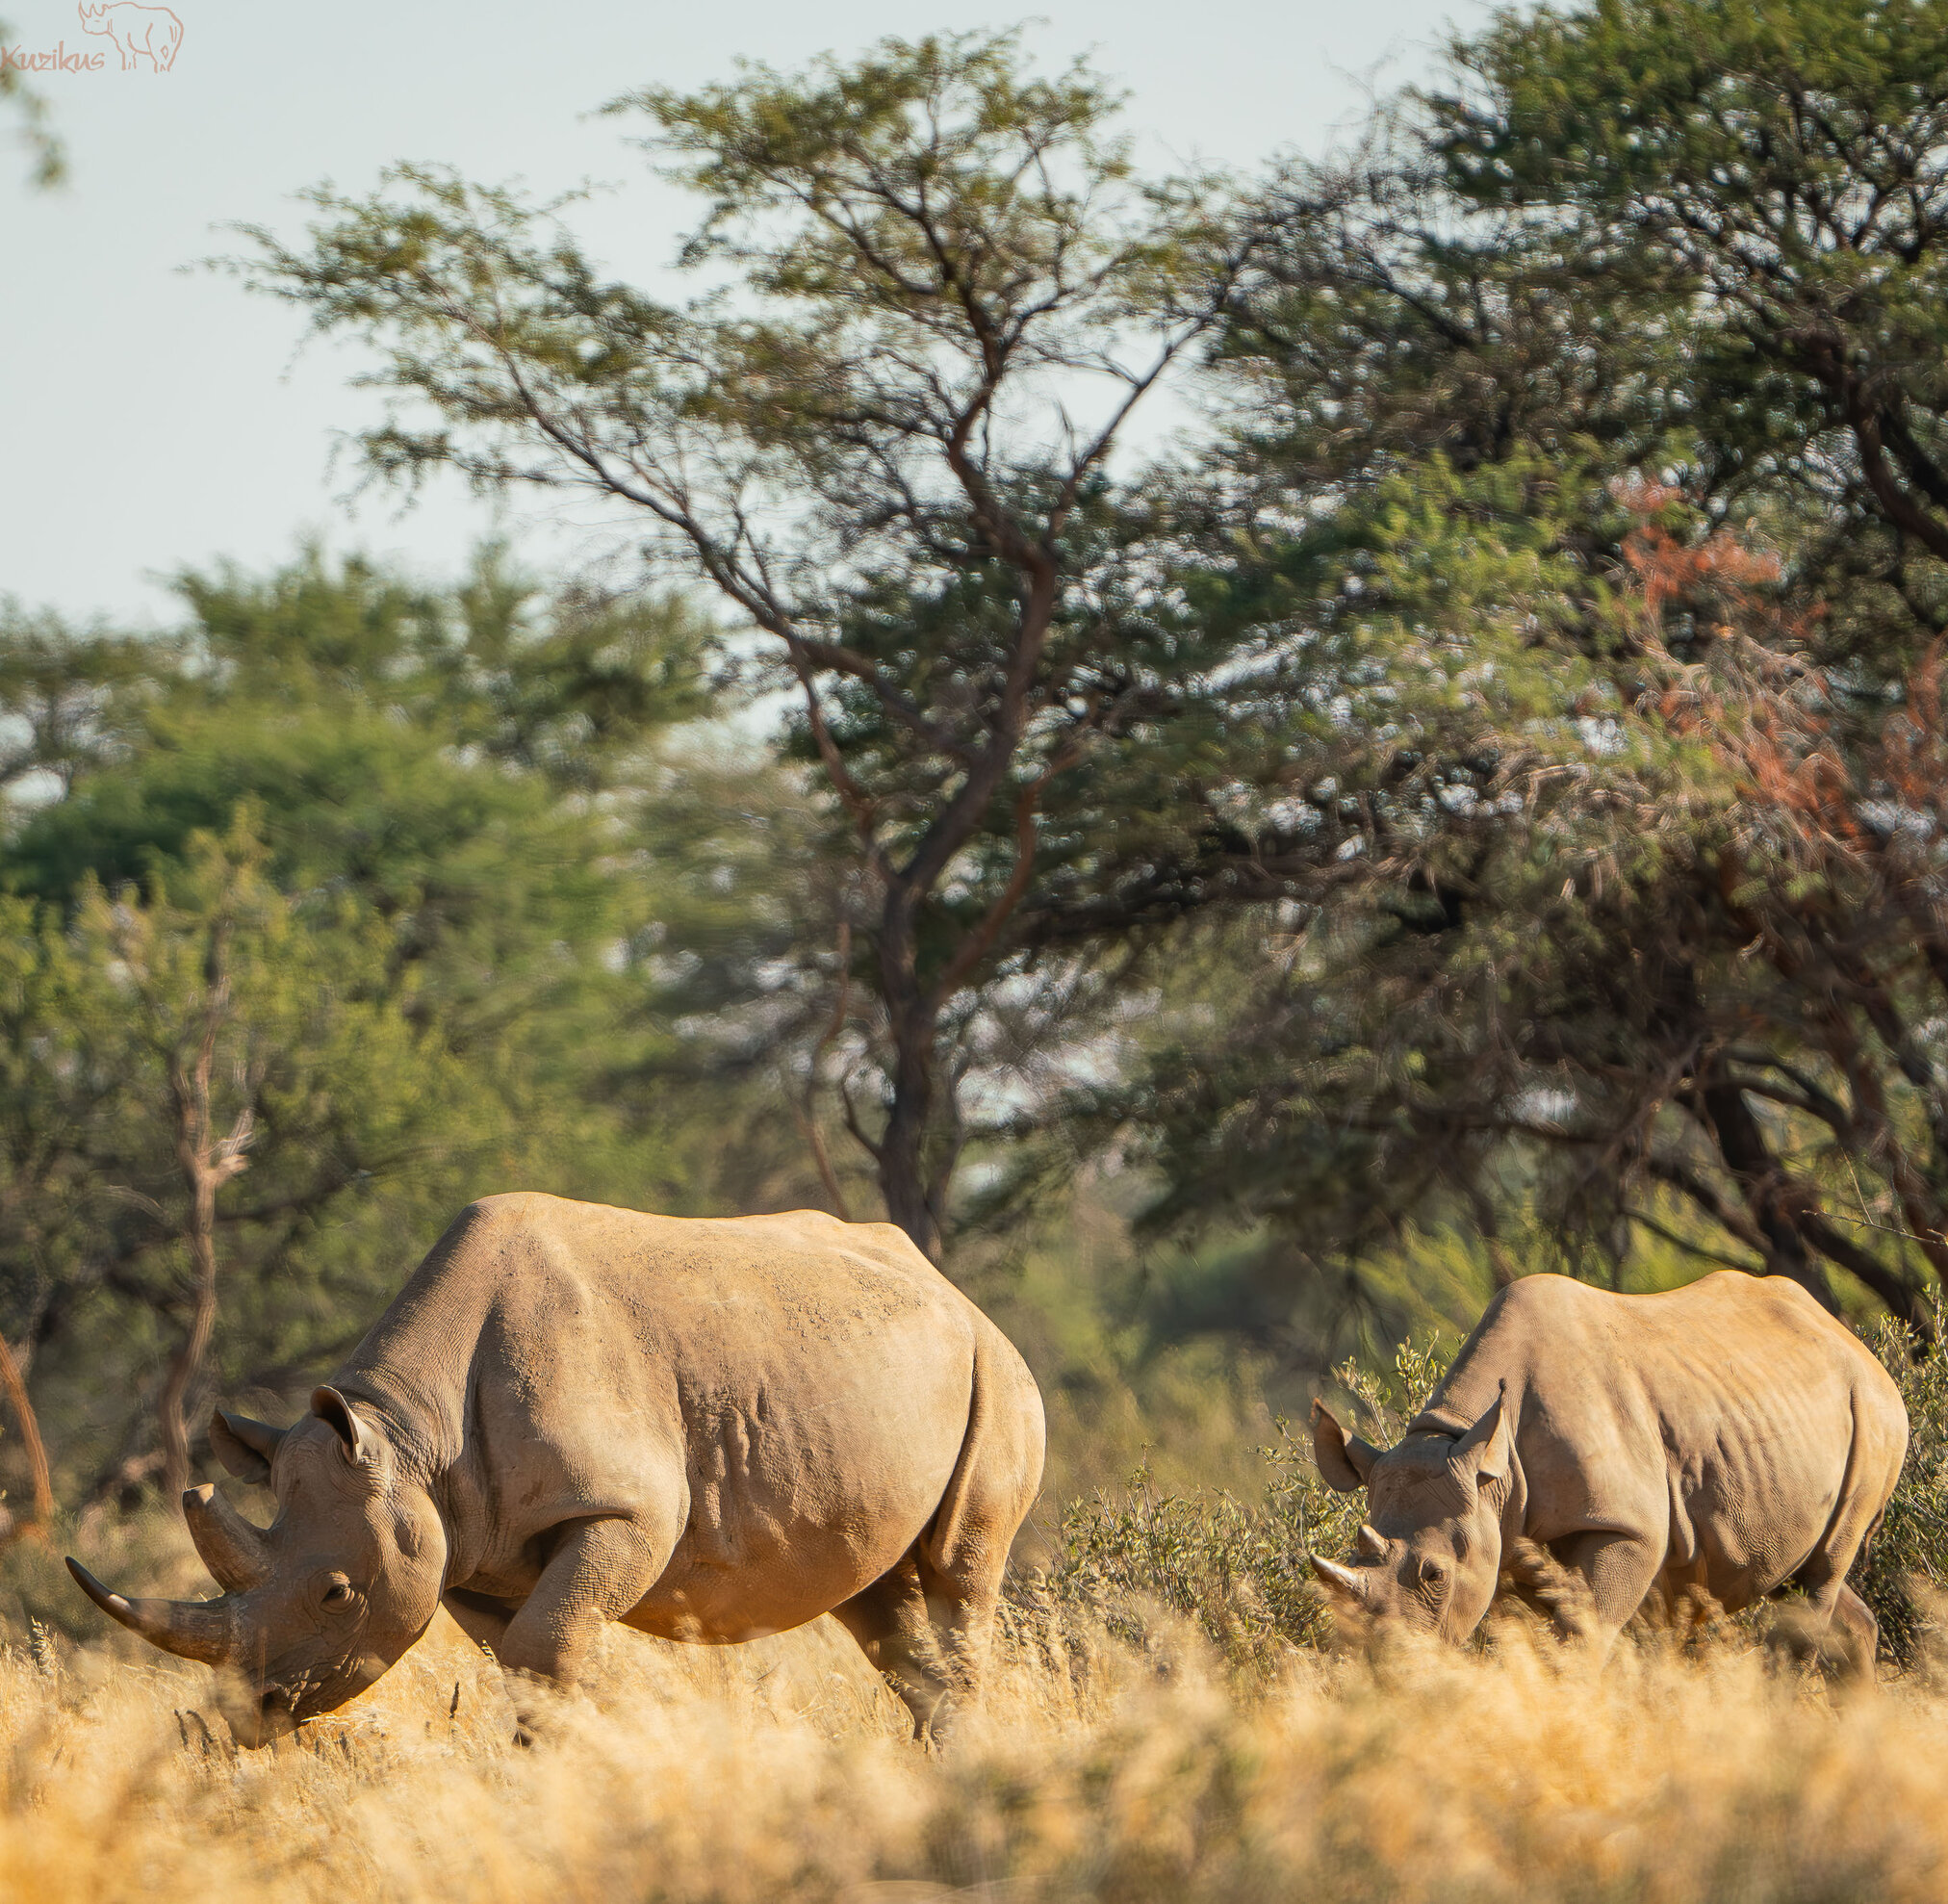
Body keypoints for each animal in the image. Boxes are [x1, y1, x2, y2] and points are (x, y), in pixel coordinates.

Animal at [69, 1194, 1047, 1747]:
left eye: (337, 1595)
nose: (254, 1714)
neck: (408, 1436)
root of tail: (954, 1290)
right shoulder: (464, 1546)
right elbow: (527, 1663)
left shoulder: (624, 1511)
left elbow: (545, 1649)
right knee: (873, 1599)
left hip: (995, 1368)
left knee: (959, 1572)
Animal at [1308, 1271, 1907, 1670]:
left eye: (1434, 1575)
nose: (1382, 1669)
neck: (1477, 1456)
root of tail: (1856, 1344)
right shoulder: (1498, 1531)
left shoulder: (1625, 1526)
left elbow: (1580, 1634)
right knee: (1802, 1574)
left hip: (1875, 1412)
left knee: (1822, 1572)